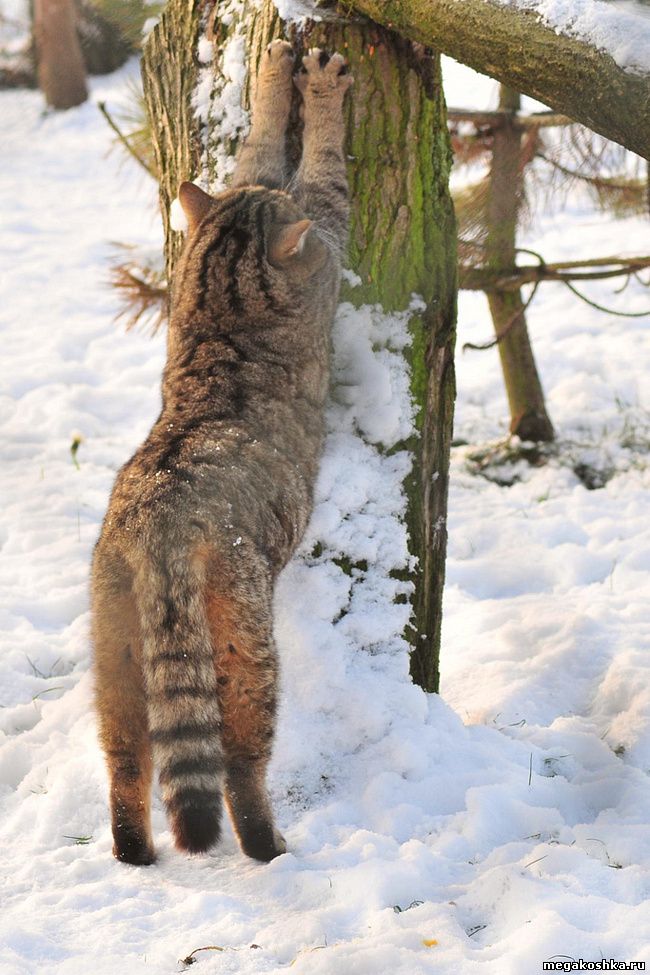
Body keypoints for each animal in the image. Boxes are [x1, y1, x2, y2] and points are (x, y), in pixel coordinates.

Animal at [91, 42, 350, 864]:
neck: (220, 293)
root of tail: (159, 524)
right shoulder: (329, 233)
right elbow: (325, 171)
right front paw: (319, 89)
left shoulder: (241, 189)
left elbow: (258, 150)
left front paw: (273, 76)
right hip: (242, 636)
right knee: (239, 759)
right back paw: (267, 841)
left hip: (113, 642)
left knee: (125, 758)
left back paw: (133, 847)